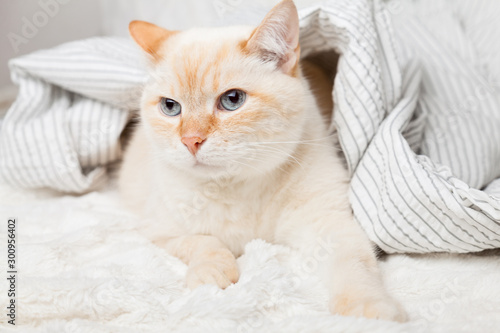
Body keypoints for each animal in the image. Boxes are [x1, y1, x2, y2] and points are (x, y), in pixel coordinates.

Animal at [120, 0, 406, 322]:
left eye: (232, 100)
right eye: (170, 107)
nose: (191, 140)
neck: (237, 187)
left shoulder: (328, 224)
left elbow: (355, 268)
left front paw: (368, 310)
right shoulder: (158, 231)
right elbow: (203, 242)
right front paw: (212, 274)